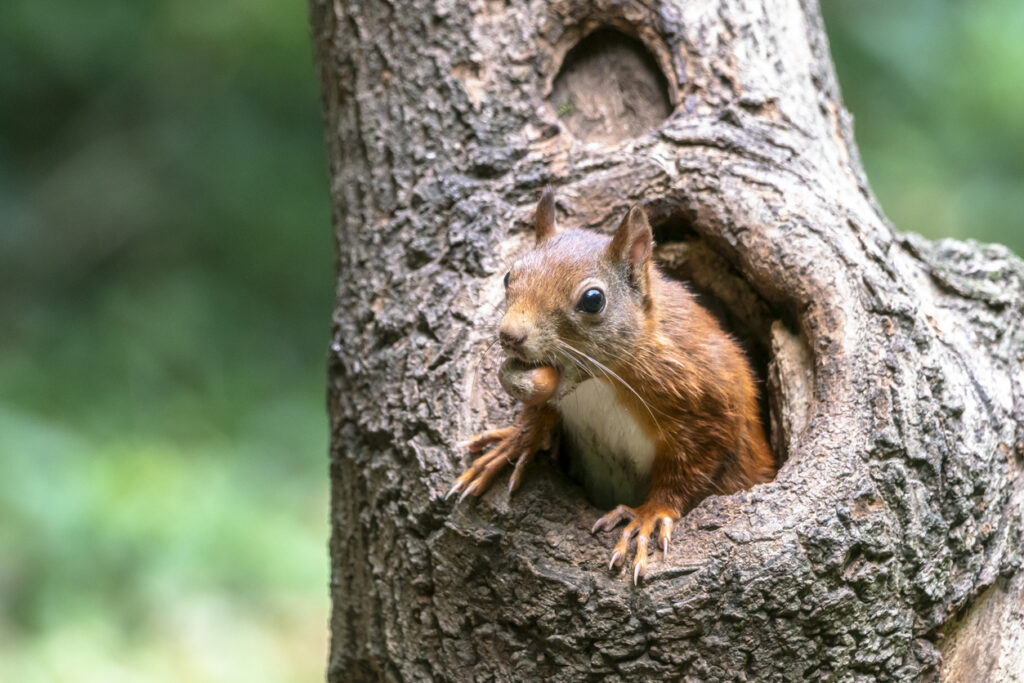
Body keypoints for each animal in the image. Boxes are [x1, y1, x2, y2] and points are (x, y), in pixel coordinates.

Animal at [448, 189, 774, 585]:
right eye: (510, 276)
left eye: (593, 300)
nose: (510, 335)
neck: (596, 384)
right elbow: (540, 406)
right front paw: (517, 440)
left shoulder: (707, 393)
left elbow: (693, 461)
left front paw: (649, 515)